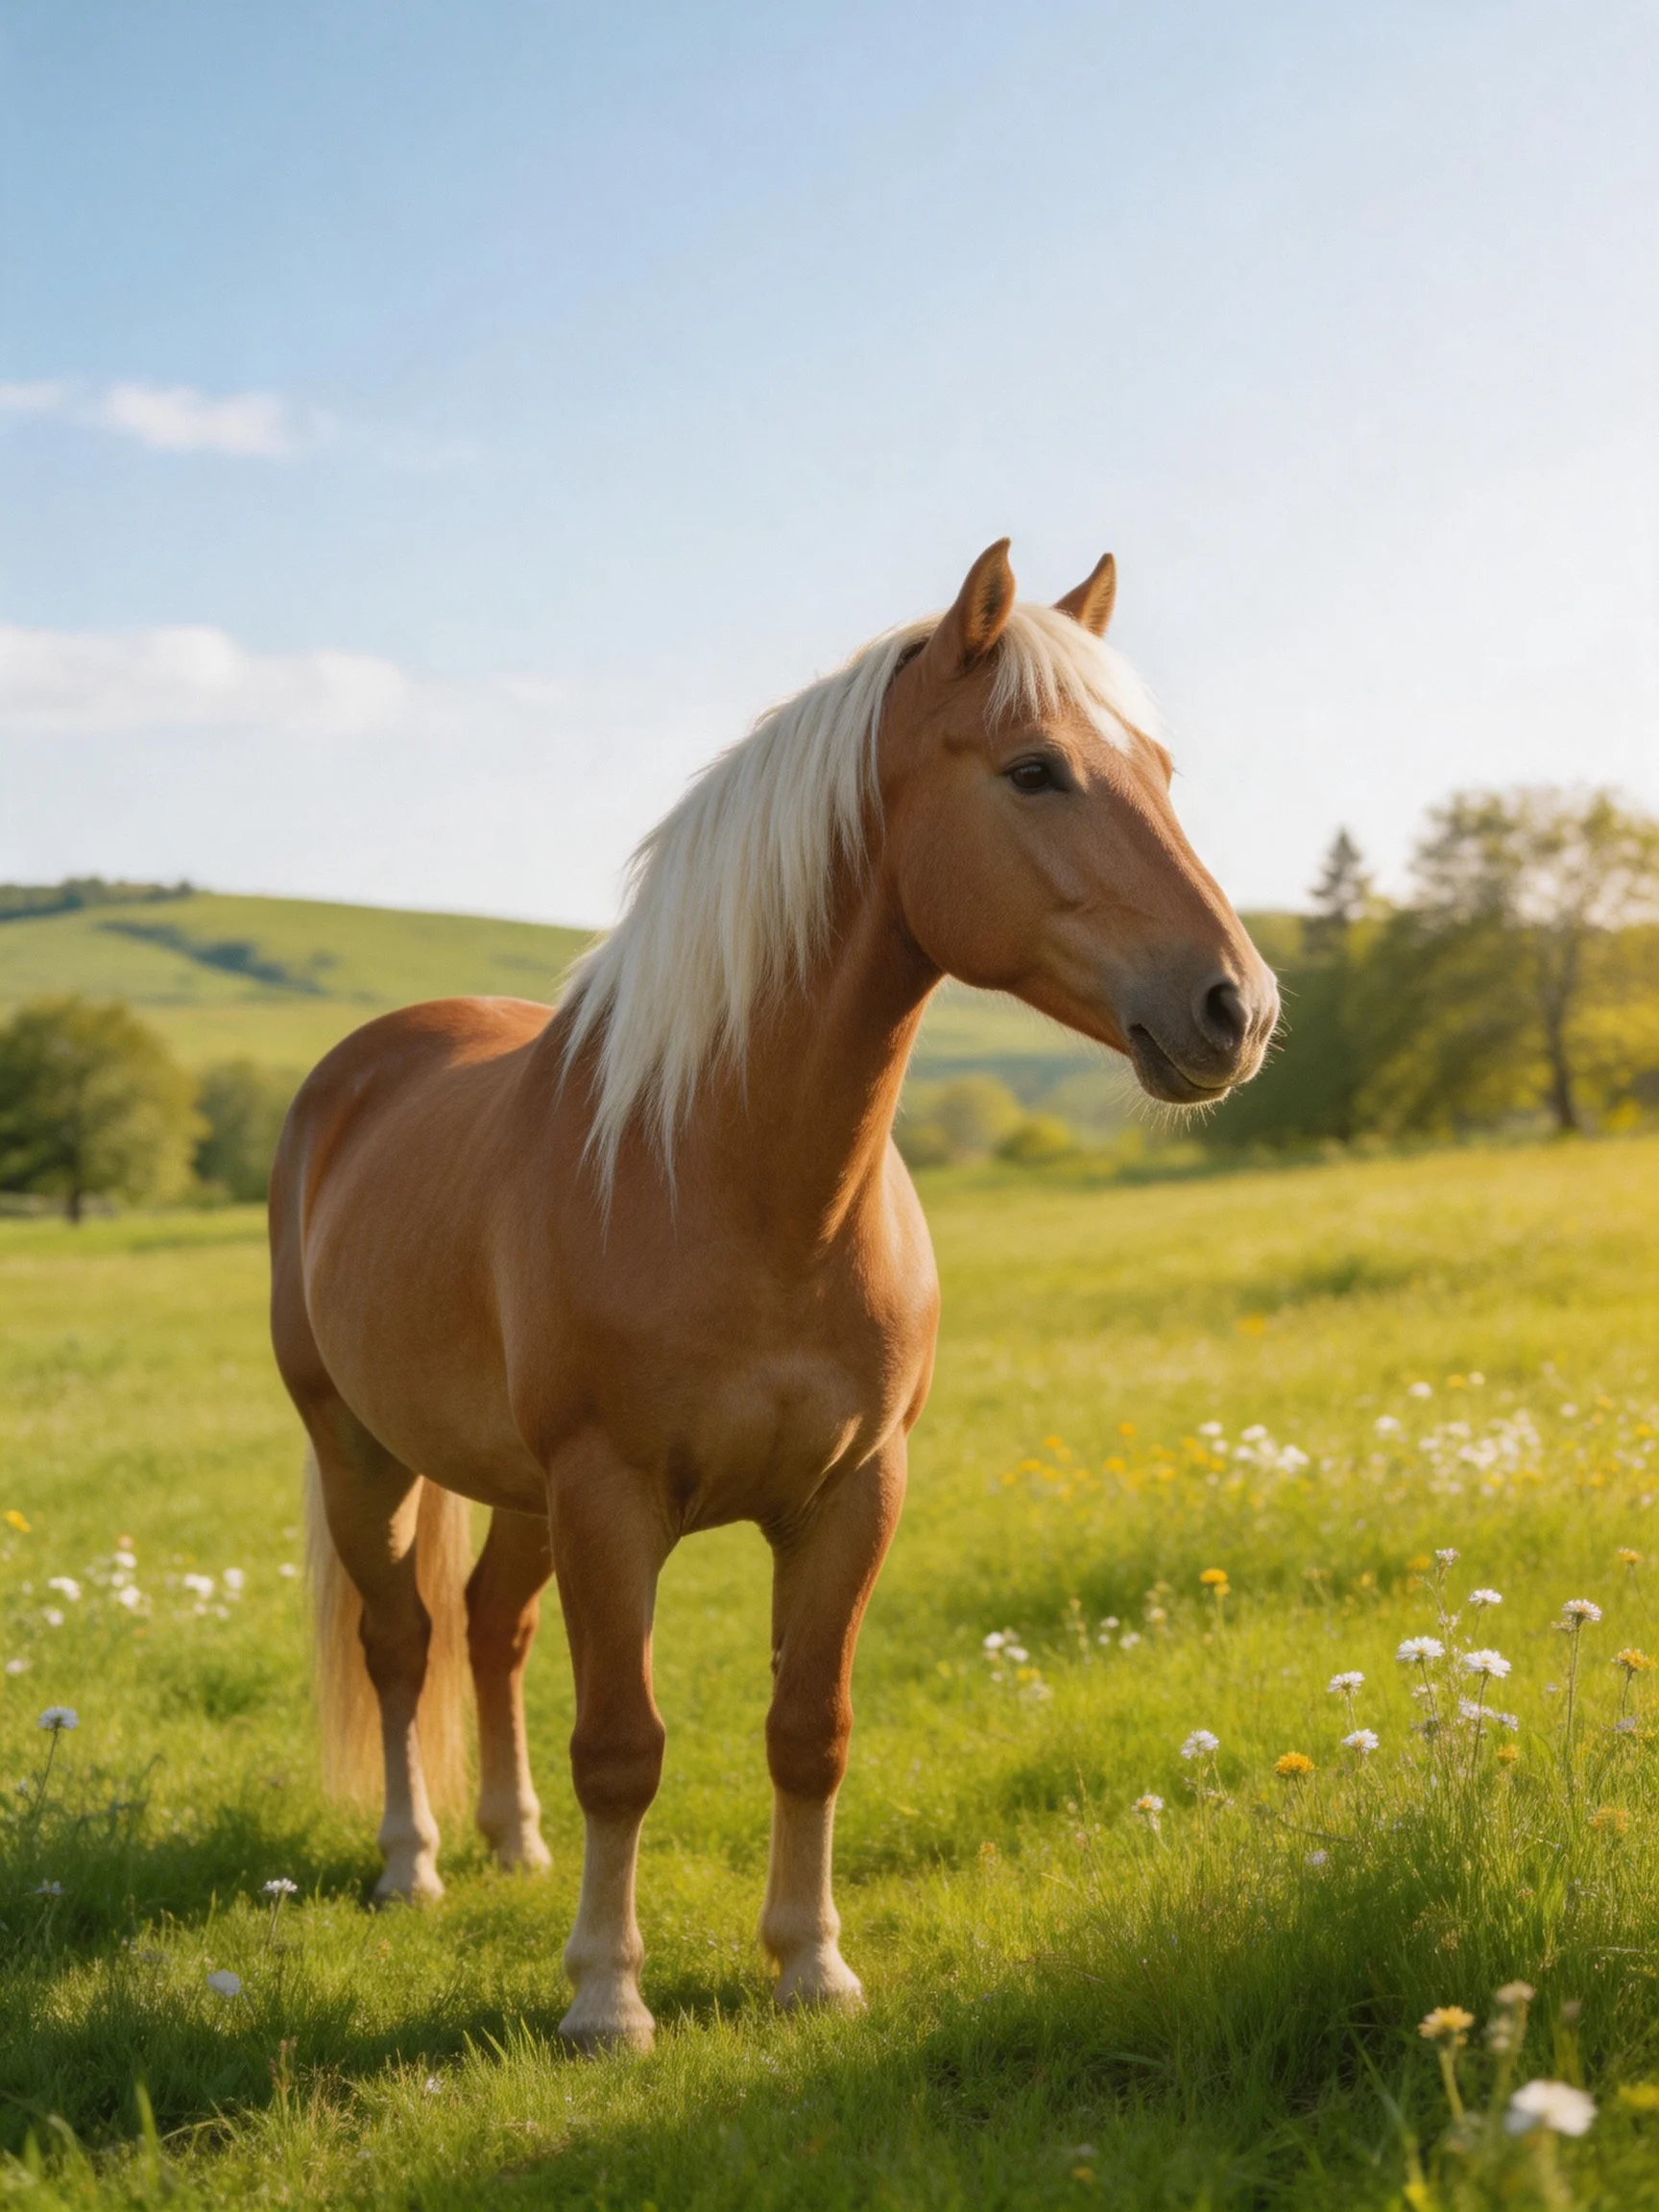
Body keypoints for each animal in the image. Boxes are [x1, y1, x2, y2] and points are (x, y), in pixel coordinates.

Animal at [269, 539, 1278, 2051]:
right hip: (361, 1452)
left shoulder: (852, 1493)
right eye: (1035, 770)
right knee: (404, 1645)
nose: (1239, 1008)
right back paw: (416, 1866)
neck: (734, 1178)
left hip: (516, 1491)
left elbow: (811, 1731)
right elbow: (622, 1749)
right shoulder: (612, 1496)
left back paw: (514, 1843)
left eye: (1159, 765)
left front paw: (811, 1965)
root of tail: (362, 1067)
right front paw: (605, 1998)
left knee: (493, 1631)